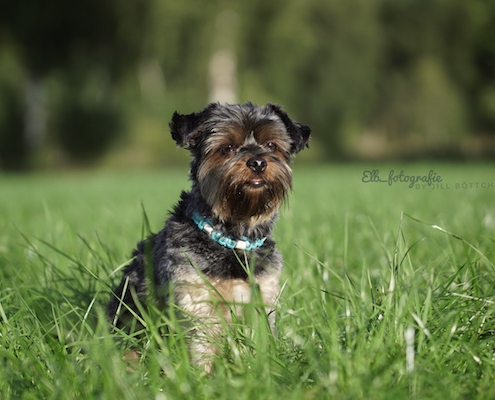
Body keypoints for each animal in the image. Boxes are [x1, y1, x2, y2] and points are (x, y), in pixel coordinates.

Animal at [108, 101, 310, 370]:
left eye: (271, 145)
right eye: (227, 147)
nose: (257, 162)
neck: (234, 241)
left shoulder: (262, 296)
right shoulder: (197, 302)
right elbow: (202, 348)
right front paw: (205, 377)